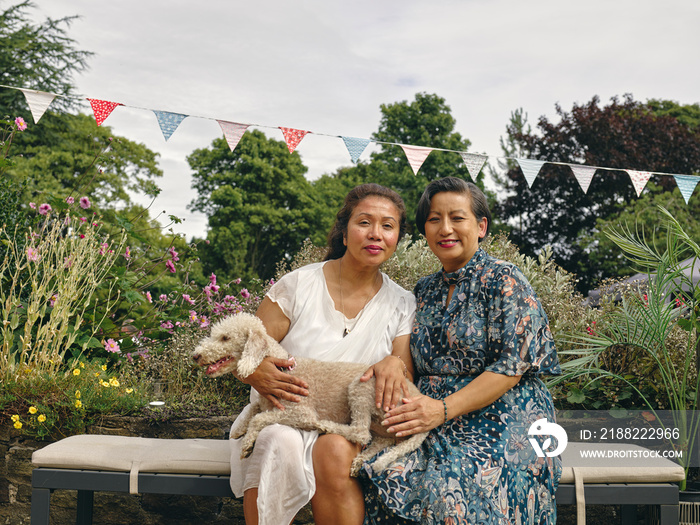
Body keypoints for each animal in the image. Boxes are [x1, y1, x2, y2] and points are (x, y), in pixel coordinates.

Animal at [194, 312, 430, 474]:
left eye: (225, 338)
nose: (196, 355)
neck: (284, 368)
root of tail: (416, 396)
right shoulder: (267, 400)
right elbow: (254, 407)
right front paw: (238, 430)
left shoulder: (300, 412)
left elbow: (259, 418)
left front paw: (247, 443)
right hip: (384, 426)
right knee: (379, 441)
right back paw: (360, 462)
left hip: (362, 387)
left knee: (360, 432)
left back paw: (327, 426)